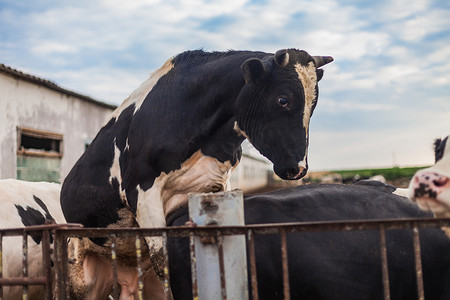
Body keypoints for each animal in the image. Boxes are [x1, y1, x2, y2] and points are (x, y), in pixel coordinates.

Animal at [59, 49, 332, 292]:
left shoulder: (217, 185)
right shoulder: (141, 190)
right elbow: (164, 265)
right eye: (283, 100)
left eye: (313, 106)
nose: (299, 168)